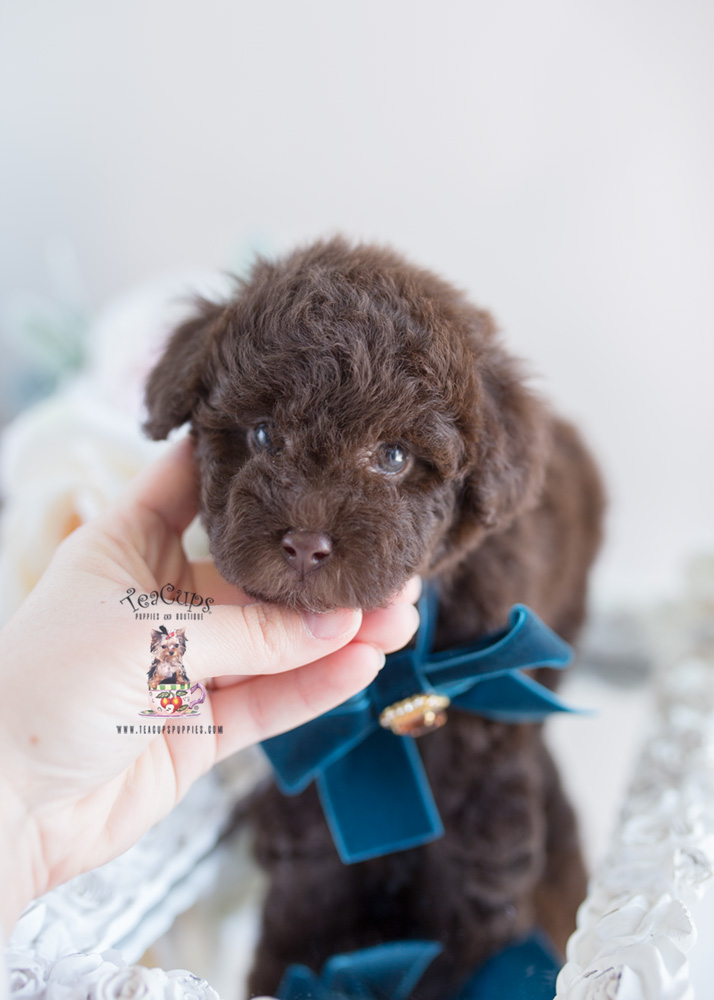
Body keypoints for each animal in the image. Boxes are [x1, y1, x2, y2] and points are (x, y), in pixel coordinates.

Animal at [143, 238, 600, 996]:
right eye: (262, 434)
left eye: (392, 456)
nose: (305, 541)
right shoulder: (316, 768)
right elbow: (311, 878)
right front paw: (295, 966)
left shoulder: (480, 768)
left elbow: (474, 879)